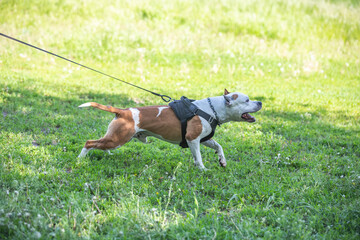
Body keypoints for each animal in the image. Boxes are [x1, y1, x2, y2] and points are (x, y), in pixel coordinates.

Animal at [77, 89, 262, 170]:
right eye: (247, 100)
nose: (260, 102)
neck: (212, 109)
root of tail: (124, 111)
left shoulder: (204, 139)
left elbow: (218, 146)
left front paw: (222, 160)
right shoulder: (193, 139)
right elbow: (199, 156)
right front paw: (202, 169)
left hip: (116, 138)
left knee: (99, 144)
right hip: (118, 138)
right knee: (89, 143)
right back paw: (80, 160)